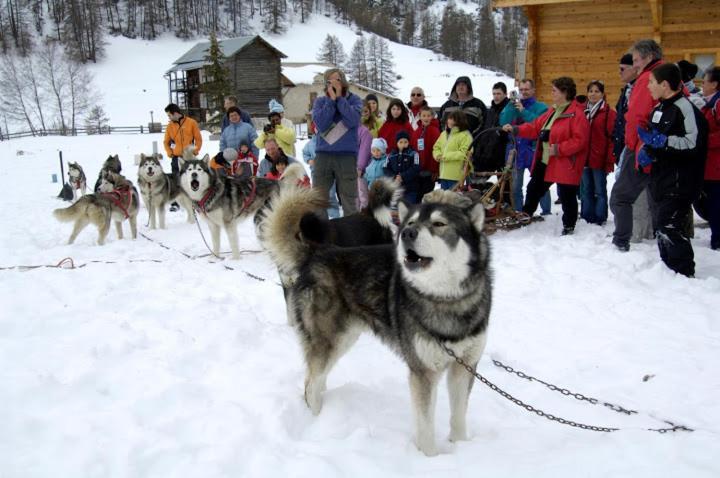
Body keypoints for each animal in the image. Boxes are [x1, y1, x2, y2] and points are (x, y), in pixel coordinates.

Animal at [256, 187, 492, 456]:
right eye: (410, 223)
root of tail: (316, 252)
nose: (407, 233)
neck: (446, 299)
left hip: (344, 339)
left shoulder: (464, 366)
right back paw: (315, 421)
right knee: (310, 385)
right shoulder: (423, 372)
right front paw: (431, 458)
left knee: (317, 378)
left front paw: (461, 446)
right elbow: (425, 426)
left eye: (439, 224)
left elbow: (459, 416)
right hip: (331, 340)